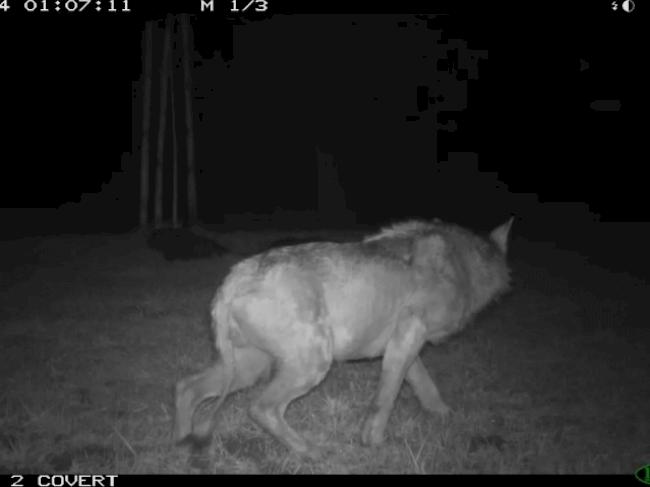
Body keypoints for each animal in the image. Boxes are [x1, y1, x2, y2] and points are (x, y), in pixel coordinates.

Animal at [172, 219, 512, 460]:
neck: (463, 266)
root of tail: (233, 278)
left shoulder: (404, 346)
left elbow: (424, 386)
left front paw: (443, 414)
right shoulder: (409, 334)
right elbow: (385, 400)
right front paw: (373, 443)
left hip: (248, 367)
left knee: (187, 386)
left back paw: (181, 444)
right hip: (311, 363)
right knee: (261, 408)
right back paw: (311, 452)